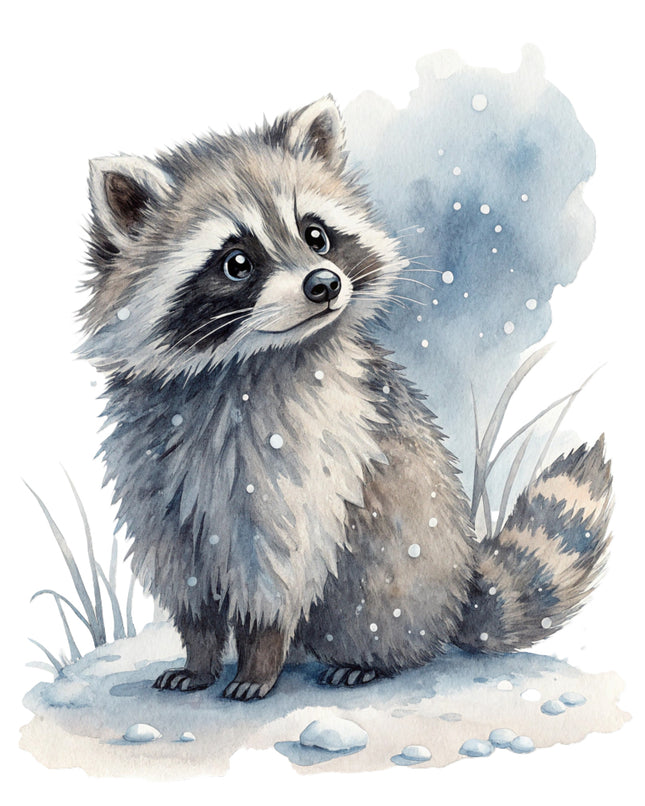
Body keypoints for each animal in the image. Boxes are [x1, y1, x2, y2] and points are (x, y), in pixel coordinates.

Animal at [81, 97, 612, 700]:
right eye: (236, 262)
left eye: (315, 235)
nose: (324, 284)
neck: (237, 361)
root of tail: (458, 594)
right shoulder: (152, 479)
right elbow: (185, 577)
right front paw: (198, 656)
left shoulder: (290, 467)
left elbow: (277, 571)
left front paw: (258, 659)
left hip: (398, 574)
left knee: (373, 608)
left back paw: (369, 660)